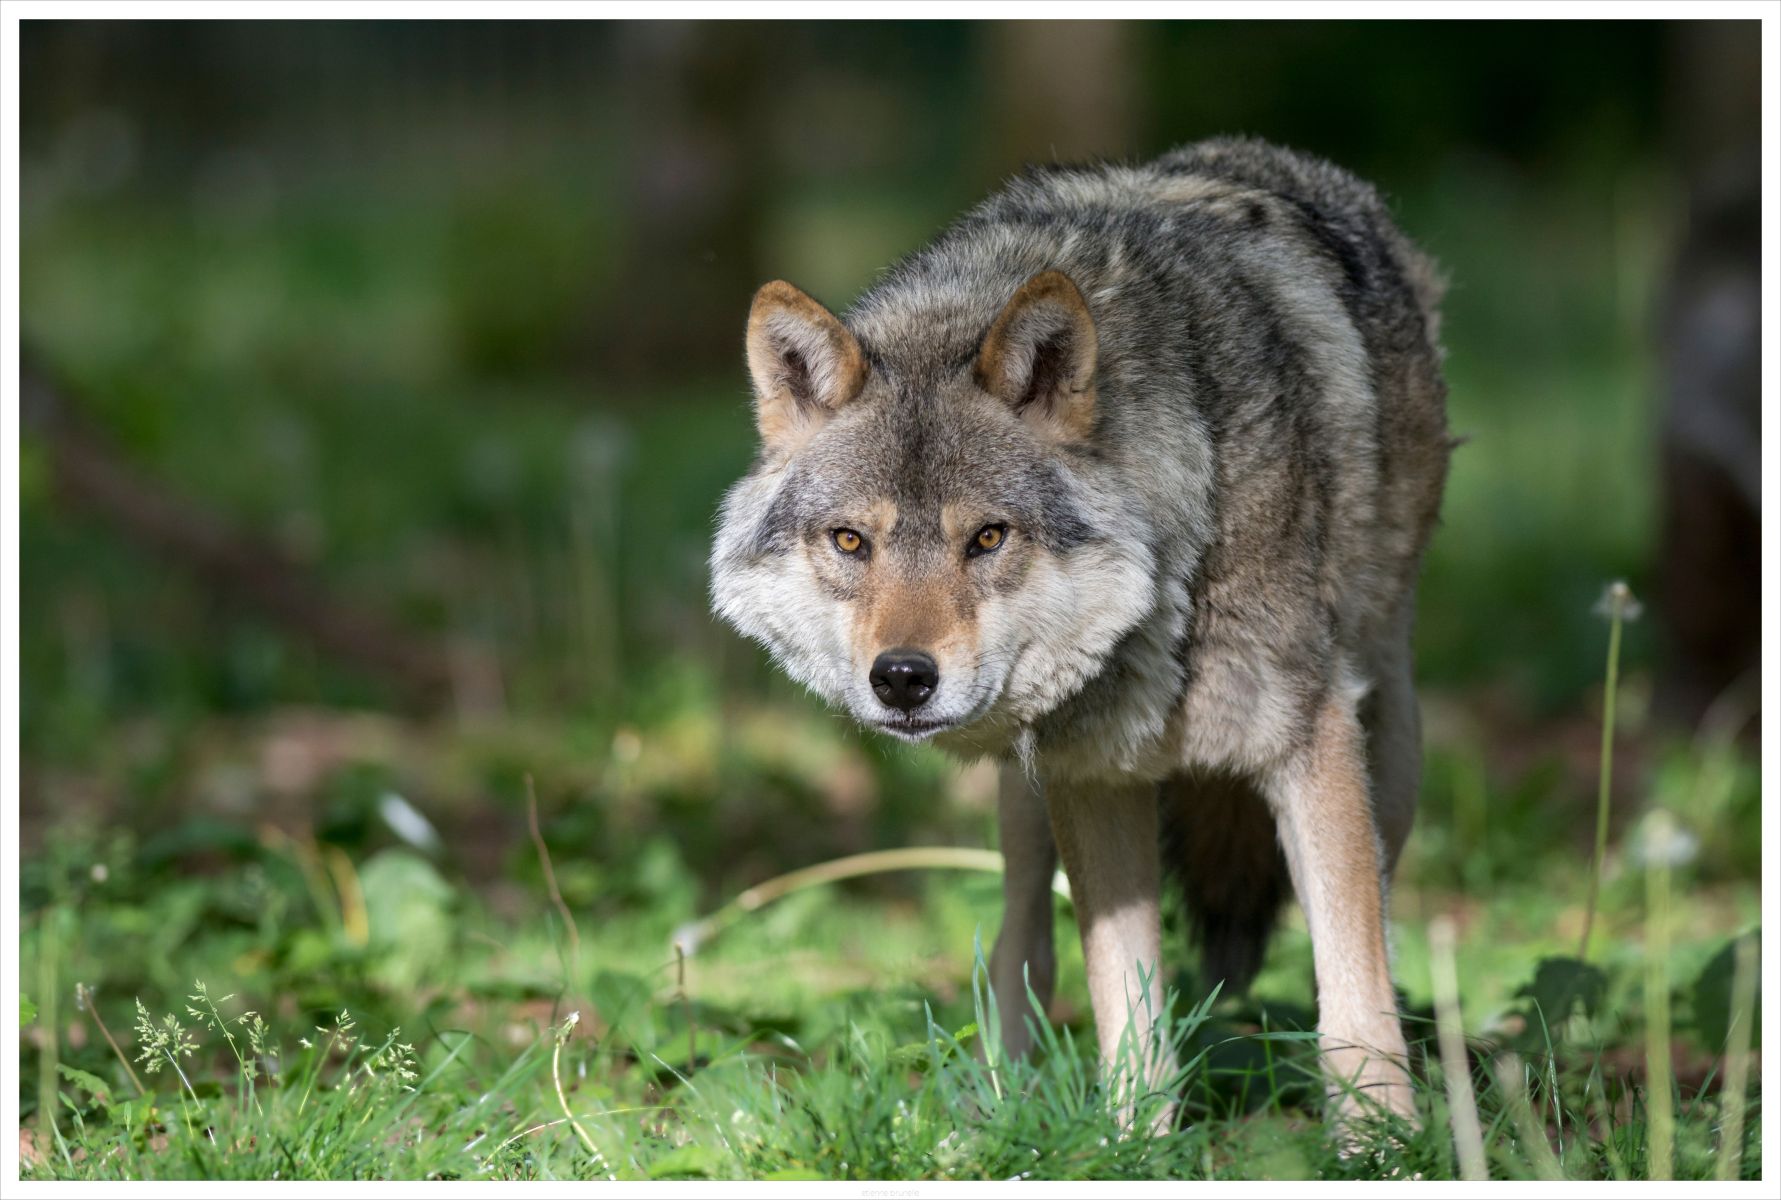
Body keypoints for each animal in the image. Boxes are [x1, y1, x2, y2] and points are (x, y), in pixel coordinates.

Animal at [710, 137, 1450, 1129]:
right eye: (850, 541)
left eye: (987, 537)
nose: (901, 678)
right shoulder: (1091, 777)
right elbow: (1126, 1009)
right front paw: (1135, 1143)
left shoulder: (1309, 747)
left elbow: (1353, 997)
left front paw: (1378, 1145)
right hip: (1024, 800)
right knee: (1021, 942)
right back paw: (995, 1110)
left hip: (1390, 756)